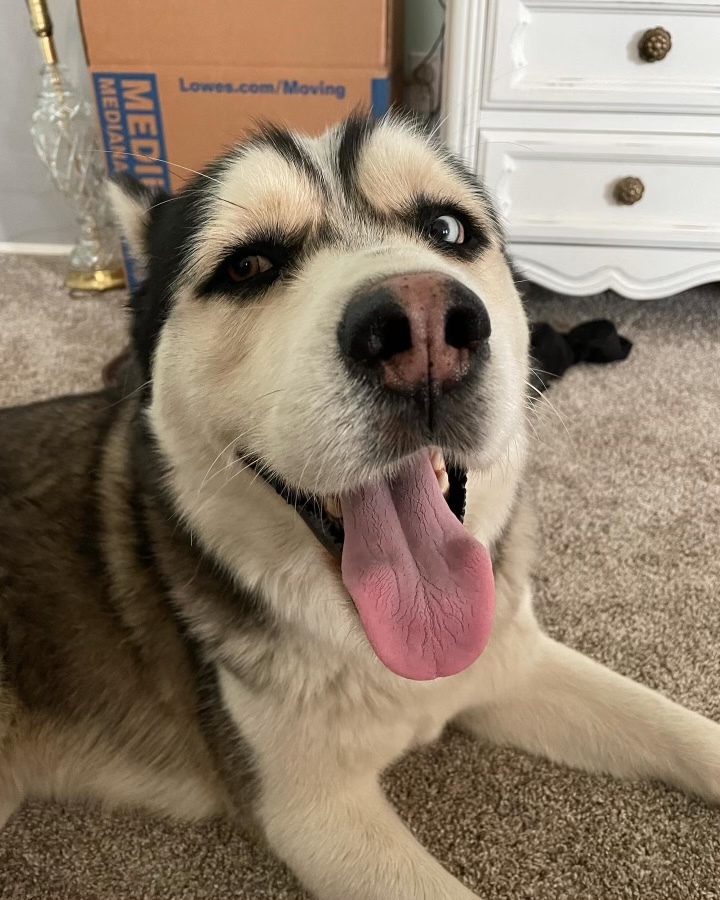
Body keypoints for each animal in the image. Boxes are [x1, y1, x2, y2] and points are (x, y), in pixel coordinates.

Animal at [1, 116, 720, 896]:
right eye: (247, 267)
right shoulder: (313, 812)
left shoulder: (513, 662)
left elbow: (677, 726)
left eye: (446, 228)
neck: (379, 650)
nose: (425, 326)